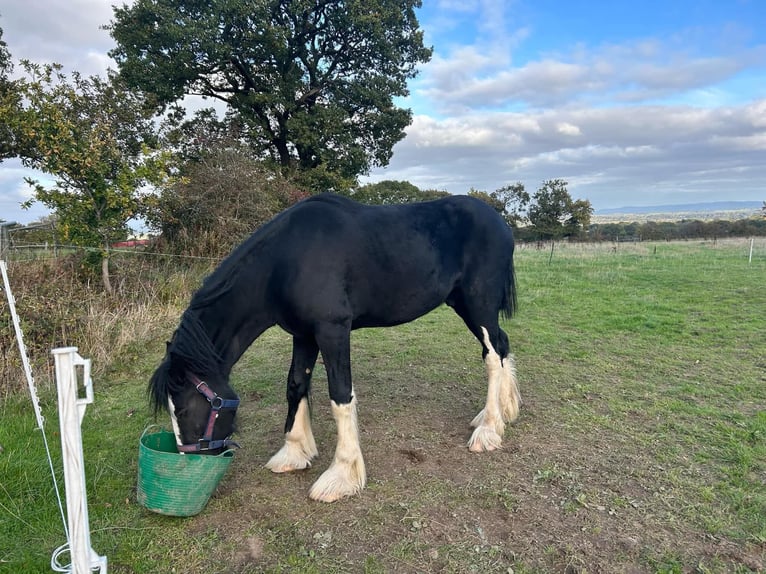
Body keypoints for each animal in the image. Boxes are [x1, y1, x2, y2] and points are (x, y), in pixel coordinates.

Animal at [149, 192, 521, 503]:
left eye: (184, 409)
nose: (193, 461)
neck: (286, 260)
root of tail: (499, 221)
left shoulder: (333, 330)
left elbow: (340, 396)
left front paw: (341, 476)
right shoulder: (303, 334)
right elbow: (295, 384)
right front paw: (294, 453)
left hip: (479, 304)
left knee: (492, 356)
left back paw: (488, 431)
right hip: (464, 305)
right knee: (501, 346)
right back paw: (502, 412)